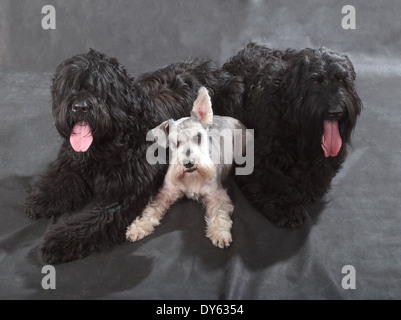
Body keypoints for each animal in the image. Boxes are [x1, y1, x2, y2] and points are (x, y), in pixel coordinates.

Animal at [126, 87, 248, 248]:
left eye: (198, 137)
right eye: (176, 143)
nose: (189, 163)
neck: (192, 178)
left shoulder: (217, 195)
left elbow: (220, 213)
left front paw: (220, 233)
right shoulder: (166, 192)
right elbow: (152, 209)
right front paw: (139, 227)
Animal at [214, 43, 364, 228]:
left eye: (342, 80)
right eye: (315, 81)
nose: (335, 111)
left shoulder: (332, 152)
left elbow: (320, 168)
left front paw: (307, 186)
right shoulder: (256, 160)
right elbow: (272, 181)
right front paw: (288, 207)